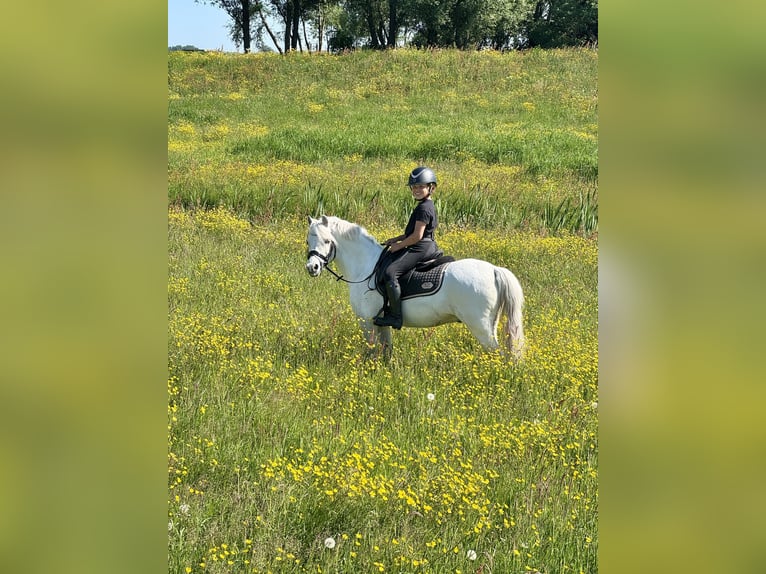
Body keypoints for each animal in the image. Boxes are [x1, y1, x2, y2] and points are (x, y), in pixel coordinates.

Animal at [305, 215, 525, 359]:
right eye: (308, 240)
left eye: (327, 240)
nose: (312, 267)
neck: (366, 267)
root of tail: (494, 270)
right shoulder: (380, 322)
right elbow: (386, 350)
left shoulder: (366, 321)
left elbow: (372, 350)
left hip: (480, 326)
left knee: (496, 354)